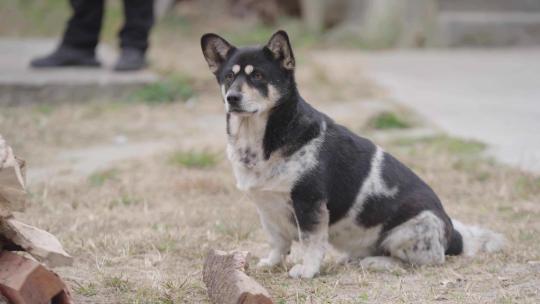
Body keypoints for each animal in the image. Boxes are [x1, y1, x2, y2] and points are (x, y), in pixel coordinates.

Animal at [200, 30, 504, 278]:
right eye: (229, 77)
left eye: (258, 76)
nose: (232, 98)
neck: (261, 139)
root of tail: (453, 236)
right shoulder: (266, 208)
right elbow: (278, 241)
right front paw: (272, 263)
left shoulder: (309, 204)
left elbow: (311, 242)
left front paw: (307, 271)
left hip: (407, 232)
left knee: (425, 260)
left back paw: (379, 263)